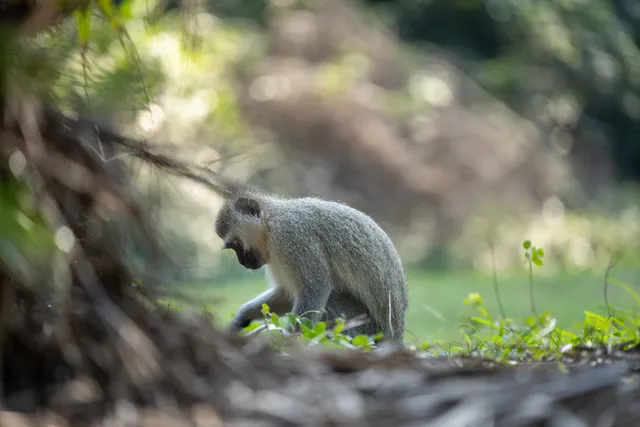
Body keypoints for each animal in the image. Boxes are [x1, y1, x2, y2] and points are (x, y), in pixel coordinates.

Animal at [214, 189, 409, 344]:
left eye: (237, 245)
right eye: (233, 247)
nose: (242, 262)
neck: (271, 225)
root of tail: (396, 338)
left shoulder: (293, 237)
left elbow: (315, 289)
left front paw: (289, 342)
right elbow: (286, 294)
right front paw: (242, 316)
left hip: (367, 331)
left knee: (333, 297)